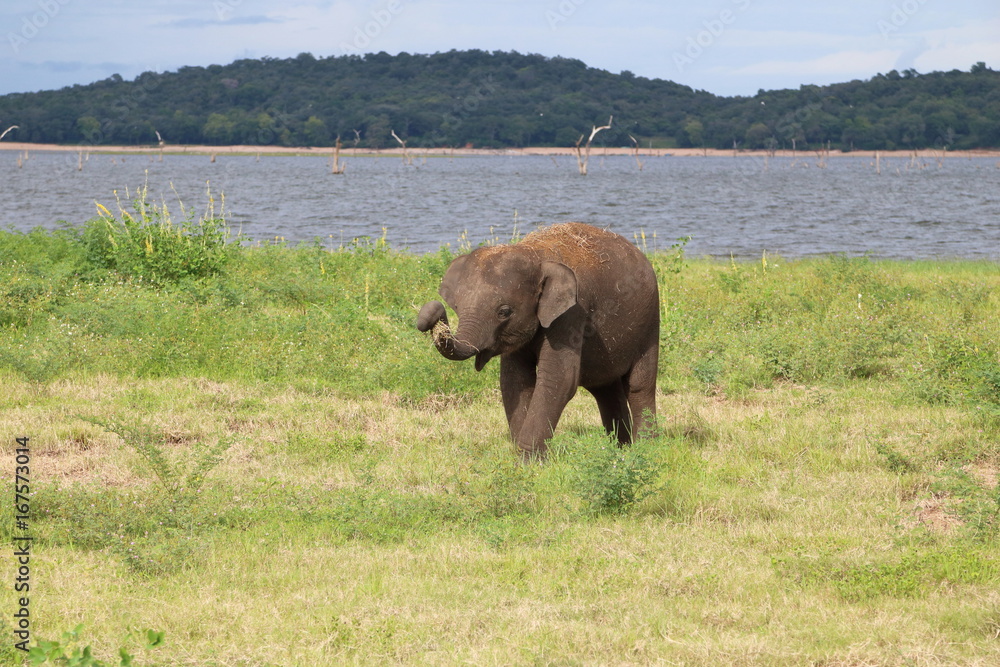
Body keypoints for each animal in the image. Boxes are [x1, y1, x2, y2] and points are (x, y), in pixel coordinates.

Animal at [416, 222, 659, 459]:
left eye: (504, 312)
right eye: (457, 306)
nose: (432, 310)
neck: (534, 254)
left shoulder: (571, 313)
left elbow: (558, 378)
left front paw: (527, 462)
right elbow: (515, 380)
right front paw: (521, 460)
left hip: (649, 323)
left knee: (639, 385)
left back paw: (644, 449)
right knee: (605, 389)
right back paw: (620, 450)